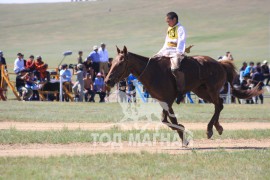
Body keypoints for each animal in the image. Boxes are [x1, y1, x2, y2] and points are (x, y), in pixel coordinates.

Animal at [105, 46, 262, 145]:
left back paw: (210, 129)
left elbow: (170, 120)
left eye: (120, 63)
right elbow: (167, 120)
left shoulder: (168, 100)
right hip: (201, 92)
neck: (153, 72)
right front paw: (183, 134)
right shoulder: (163, 101)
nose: (107, 80)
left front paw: (183, 135)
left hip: (211, 90)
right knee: (219, 104)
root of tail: (220, 64)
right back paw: (217, 127)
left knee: (219, 104)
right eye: (112, 63)